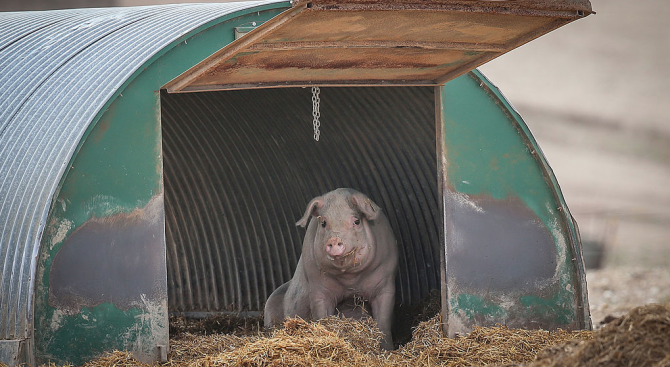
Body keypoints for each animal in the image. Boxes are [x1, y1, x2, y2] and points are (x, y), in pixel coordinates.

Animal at [264, 190, 400, 350]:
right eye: (323, 223)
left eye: (356, 221)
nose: (334, 239)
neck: (350, 280)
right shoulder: (318, 287)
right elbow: (322, 316)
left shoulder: (386, 282)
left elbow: (383, 322)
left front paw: (387, 349)